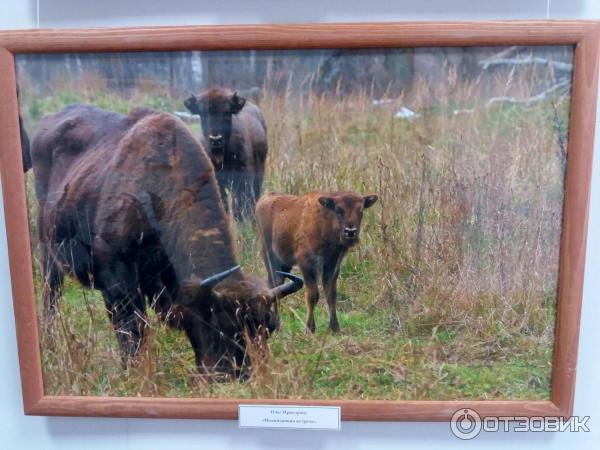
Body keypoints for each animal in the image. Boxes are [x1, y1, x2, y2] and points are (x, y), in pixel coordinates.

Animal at [28, 103, 302, 378]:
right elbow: (132, 328)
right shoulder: (118, 280)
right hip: (48, 252)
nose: (241, 375)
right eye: (222, 325)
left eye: (269, 327)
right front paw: (132, 371)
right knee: (51, 296)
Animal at [255, 190, 378, 334]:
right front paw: (309, 329)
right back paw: (277, 326)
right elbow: (313, 295)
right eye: (338, 210)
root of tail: (265, 198)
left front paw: (335, 328)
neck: (325, 220)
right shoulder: (307, 264)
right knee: (274, 286)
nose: (350, 231)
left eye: (361, 210)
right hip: (271, 259)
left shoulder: (332, 265)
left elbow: (331, 294)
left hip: (285, 265)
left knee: (277, 286)